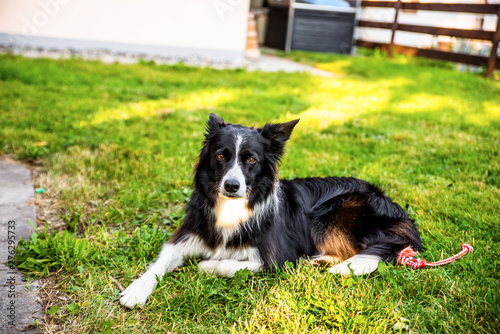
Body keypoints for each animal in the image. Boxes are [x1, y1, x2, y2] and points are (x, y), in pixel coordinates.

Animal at [119, 114, 420, 308]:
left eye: (251, 159)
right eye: (220, 155)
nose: (231, 185)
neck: (234, 207)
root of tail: (399, 213)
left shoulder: (273, 256)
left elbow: (232, 264)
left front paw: (206, 265)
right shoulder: (186, 237)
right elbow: (159, 264)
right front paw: (136, 290)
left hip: (332, 214)